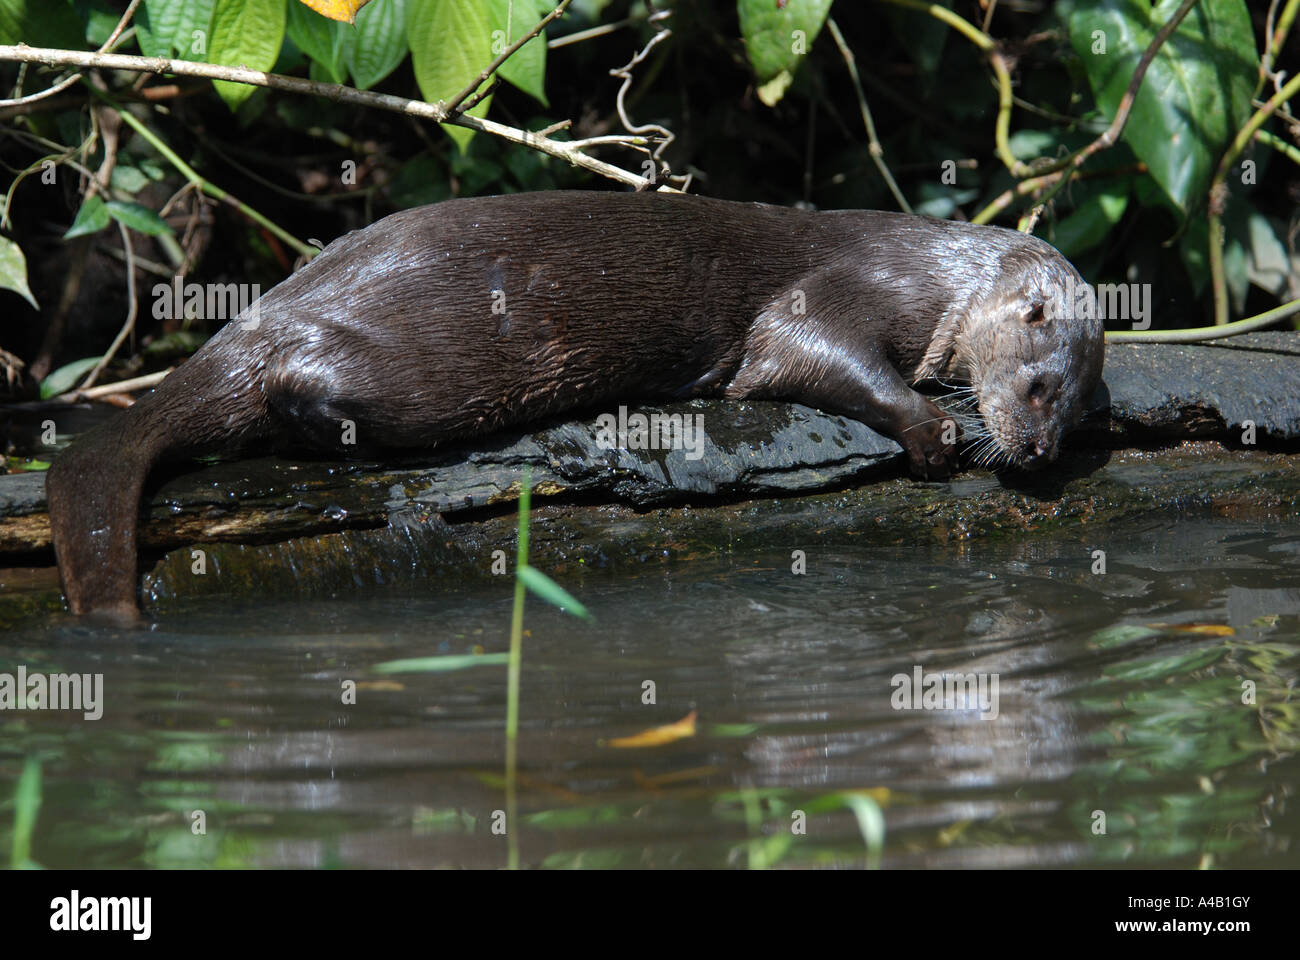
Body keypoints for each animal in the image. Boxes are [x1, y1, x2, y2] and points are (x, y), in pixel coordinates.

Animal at [48, 191, 1107, 616]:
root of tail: (267, 310)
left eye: (1076, 411)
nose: (1037, 452)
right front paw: (936, 430)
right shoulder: (837, 295)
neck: (933, 277)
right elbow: (801, 354)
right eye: (1037, 384)